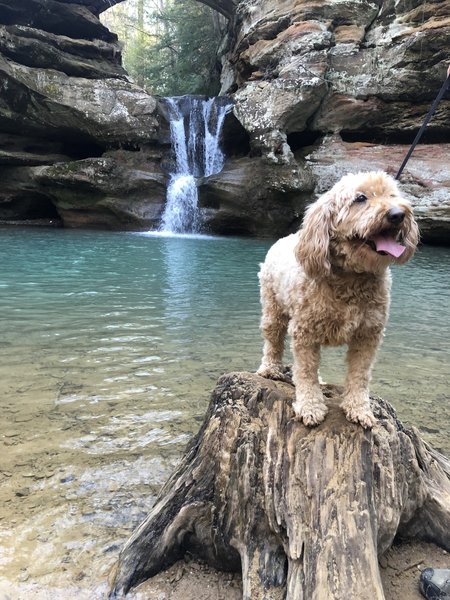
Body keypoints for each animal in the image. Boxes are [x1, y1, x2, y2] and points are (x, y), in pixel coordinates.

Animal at [258, 171, 420, 428]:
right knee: (273, 341)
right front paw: (310, 406)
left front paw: (359, 408)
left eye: (393, 195)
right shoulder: (304, 331)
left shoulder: (368, 335)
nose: (397, 214)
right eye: (360, 198)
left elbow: (359, 375)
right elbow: (305, 372)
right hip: (273, 308)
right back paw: (269, 369)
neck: (352, 277)